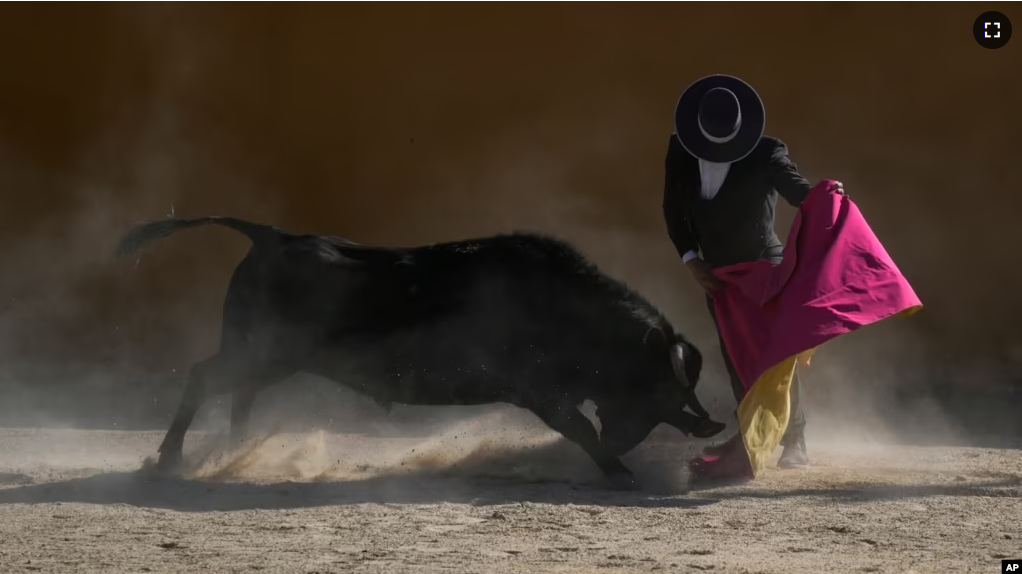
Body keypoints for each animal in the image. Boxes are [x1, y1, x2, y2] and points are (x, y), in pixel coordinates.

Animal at [115, 216, 727, 484]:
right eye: (655, 377)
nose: (707, 423)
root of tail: (272, 236)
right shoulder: (539, 390)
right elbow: (578, 427)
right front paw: (618, 471)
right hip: (264, 351)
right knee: (204, 376)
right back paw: (171, 459)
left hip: (268, 356)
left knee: (238, 394)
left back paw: (232, 452)